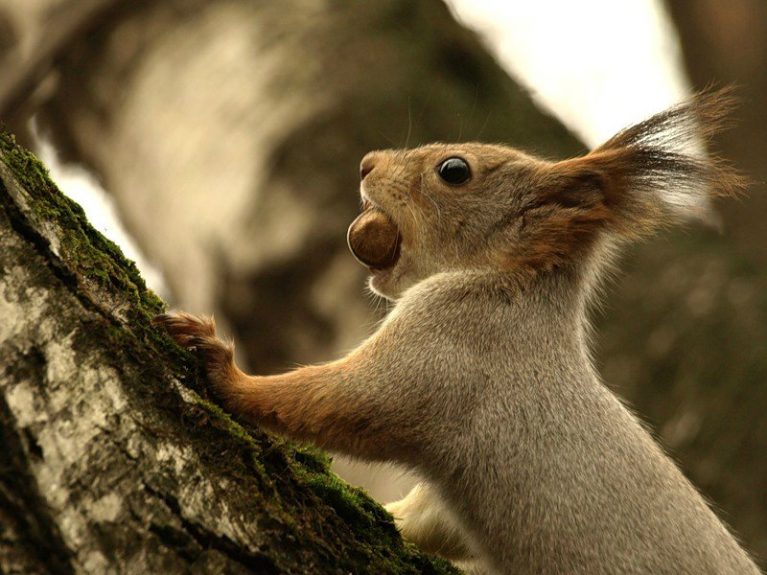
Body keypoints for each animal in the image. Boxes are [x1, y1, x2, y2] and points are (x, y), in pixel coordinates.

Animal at [156, 88, 760, 572]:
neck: (508, 283)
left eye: (454, 171)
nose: (366, 163)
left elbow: (341, 401)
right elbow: (428, 520)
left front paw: (222, 367)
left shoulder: (448, 343)